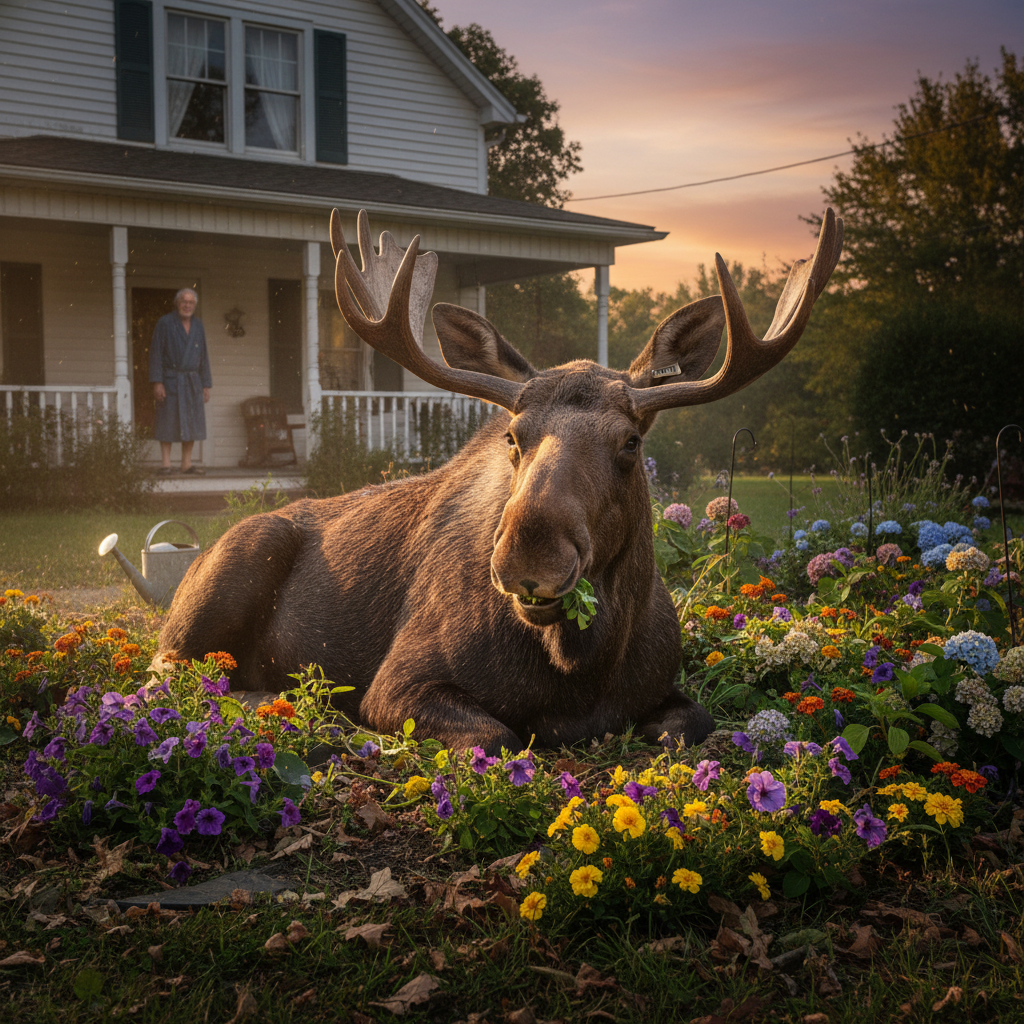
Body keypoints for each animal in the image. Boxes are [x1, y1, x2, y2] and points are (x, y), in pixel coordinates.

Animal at [158, 208, 843, 755]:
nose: (528, 557)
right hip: (230, 570)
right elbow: (500, 735)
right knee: (173, 675)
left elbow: (690, 723)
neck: (578, 668)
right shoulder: (394, 682)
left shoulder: (666, 685)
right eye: (512, 436)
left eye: (631, 442)